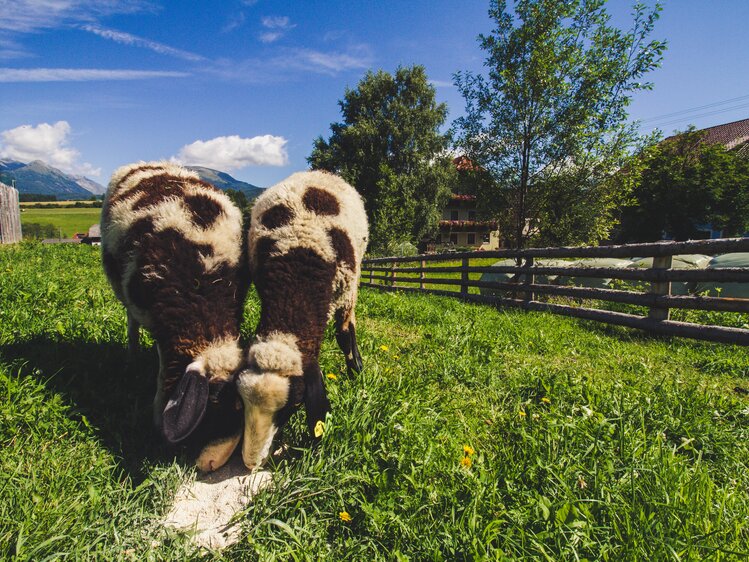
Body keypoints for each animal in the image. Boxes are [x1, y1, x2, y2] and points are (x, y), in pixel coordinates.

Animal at [100, 160, 248, 470]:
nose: (211, 465)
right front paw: (158, 416)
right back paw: (131, 358)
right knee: (131, 323)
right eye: (214, 404)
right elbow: (161, 368)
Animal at [237, 171, 368, 468]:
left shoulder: (344, 290)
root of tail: (318, 172)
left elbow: (344, 335)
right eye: (241, 403)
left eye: (294, 405)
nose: (250, 463)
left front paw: (356, 373)